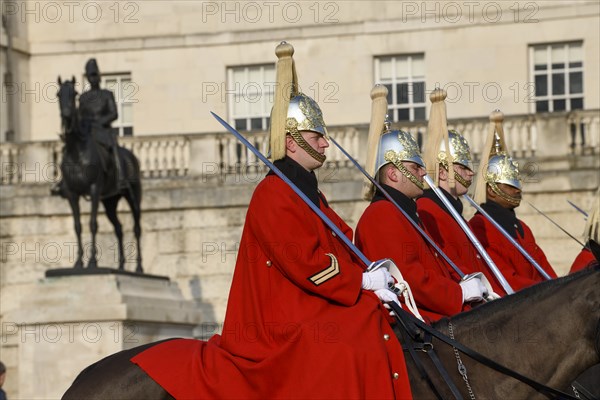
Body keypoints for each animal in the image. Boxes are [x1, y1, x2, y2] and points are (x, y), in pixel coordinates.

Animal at [57, 77, 144, 272]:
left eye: (74, 94)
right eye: (58, 94)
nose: (66, 116)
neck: (77, 151)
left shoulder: (94, 190)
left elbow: (93, 223)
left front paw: (92, 262)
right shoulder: (72, 194)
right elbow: (78, 226)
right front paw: (78, 262)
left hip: (133, 197)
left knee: (136, 228)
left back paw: (139, 268)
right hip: (110, 201)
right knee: (119, 228)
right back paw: (121, 265)